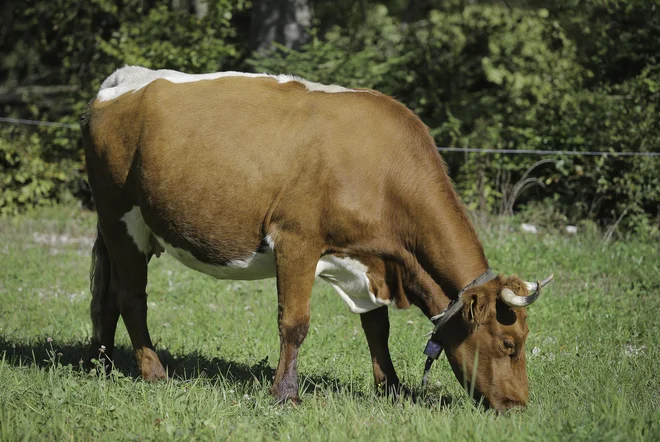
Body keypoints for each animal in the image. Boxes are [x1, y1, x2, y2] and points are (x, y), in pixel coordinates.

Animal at [82, 65, 552, 410]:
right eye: (509, 343)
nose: (518, 406)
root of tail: (123, 78)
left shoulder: (371, 260)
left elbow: (376, 327)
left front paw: (391, 388)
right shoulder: (296, 241)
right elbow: (295, 323)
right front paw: (285, 394)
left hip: (120, 227)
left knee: (105, 296)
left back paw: (100, 364)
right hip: (120, 217)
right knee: (131, 298)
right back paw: (153, 372)